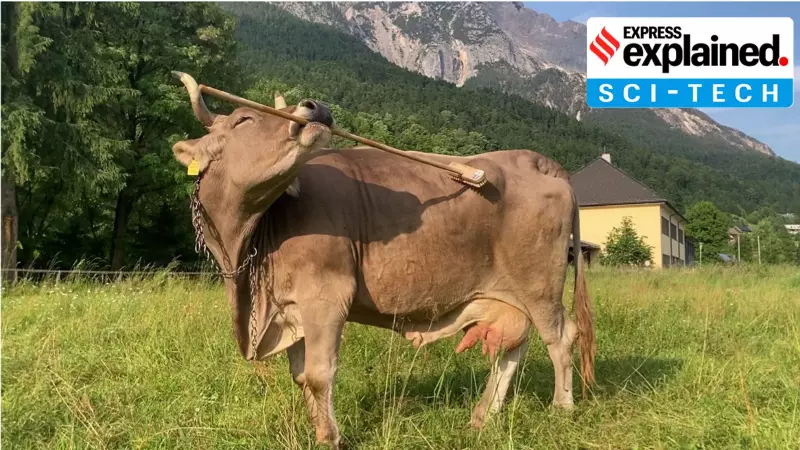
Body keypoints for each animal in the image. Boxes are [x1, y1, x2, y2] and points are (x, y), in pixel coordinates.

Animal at [171, 73, 596, 449]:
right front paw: (318, 430)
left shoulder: (326, 296)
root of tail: (534, 160)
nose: (316, 107)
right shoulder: (289, 307)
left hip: (540, 284)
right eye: (243, 120)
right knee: (513, 346)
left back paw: (561, 408)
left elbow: (319, 374)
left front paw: (331, 439)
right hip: (508, 294)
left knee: (560, 337)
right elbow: (300, 375)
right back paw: (482, 416)